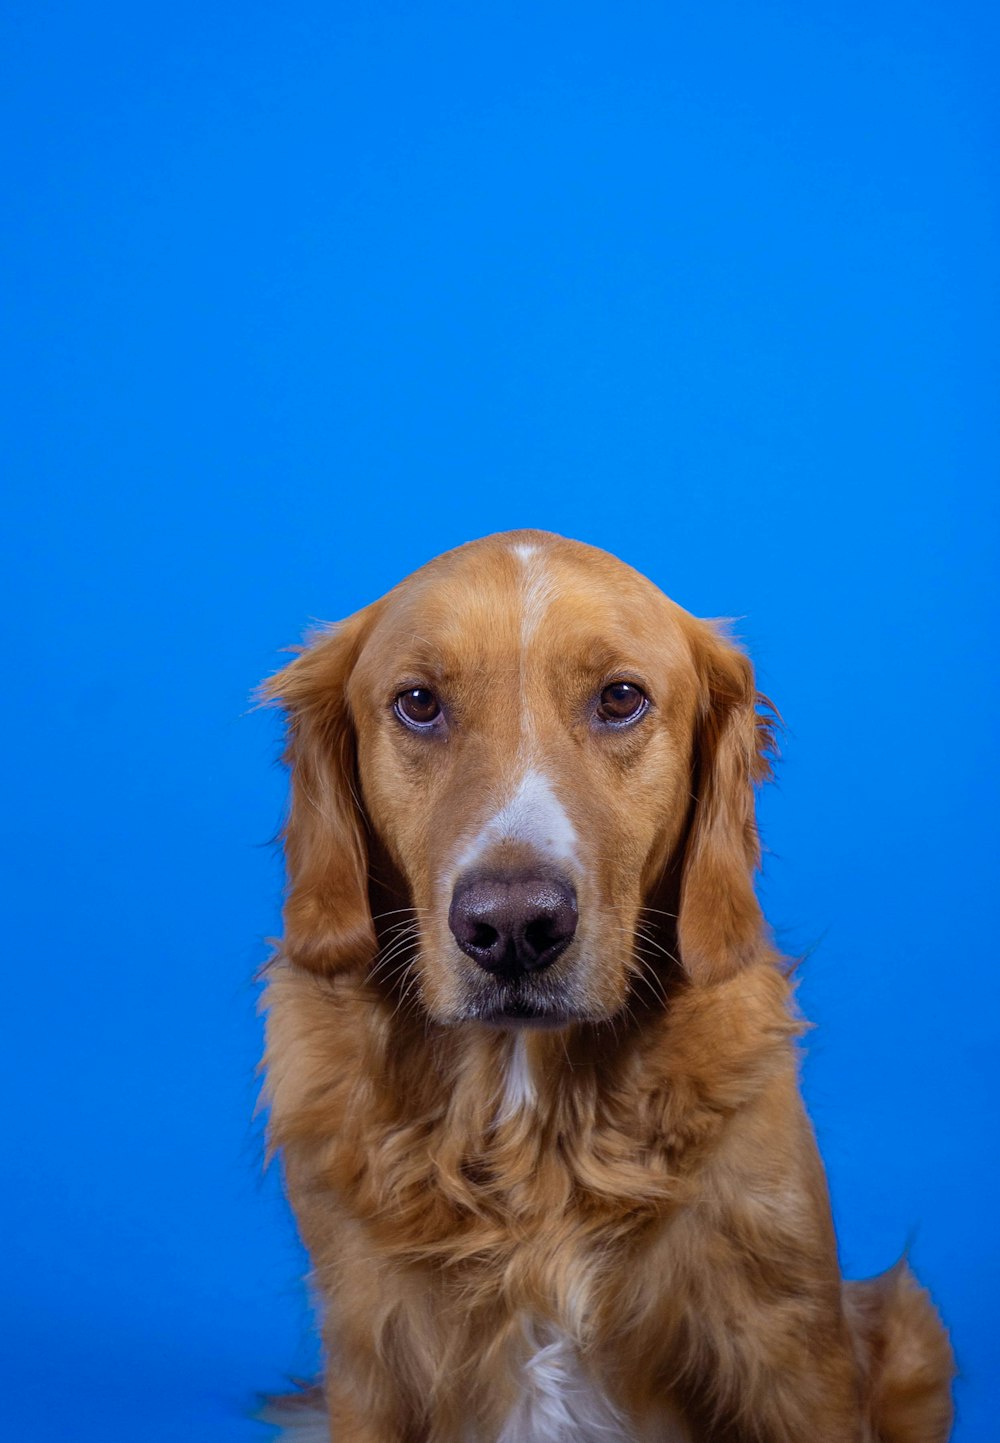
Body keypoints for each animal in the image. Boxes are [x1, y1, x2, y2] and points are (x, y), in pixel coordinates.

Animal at [256, 533, 952, 1443]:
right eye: (417, 703)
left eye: (620, 698)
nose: (514, 925)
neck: (532, 1132)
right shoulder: (369, 1359)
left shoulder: (790, 1347)